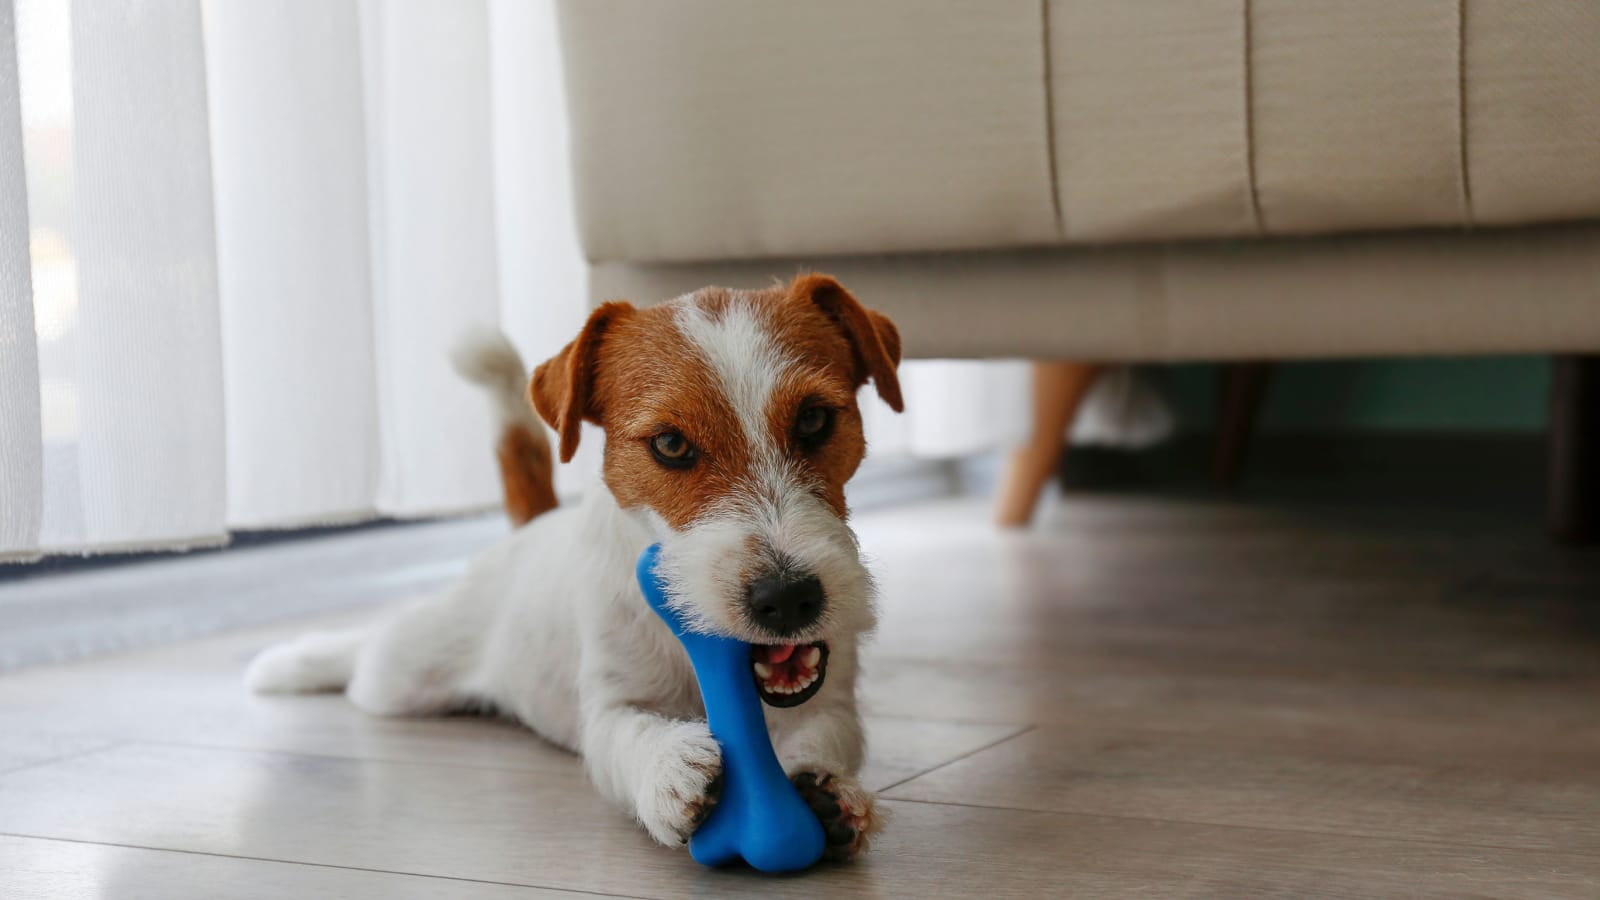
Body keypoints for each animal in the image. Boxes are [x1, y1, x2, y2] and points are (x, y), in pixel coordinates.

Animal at [244, 272, 908, 851]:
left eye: (814, 419)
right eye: (671, 445)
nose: (789, 599)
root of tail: (530, 529)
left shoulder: (830, 701)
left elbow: (827, 733)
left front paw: (826, 789)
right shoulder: (608, 704)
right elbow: (628, 733)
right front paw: (669, 767)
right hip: (404, 673)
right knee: (366, 654)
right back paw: (290, 663)